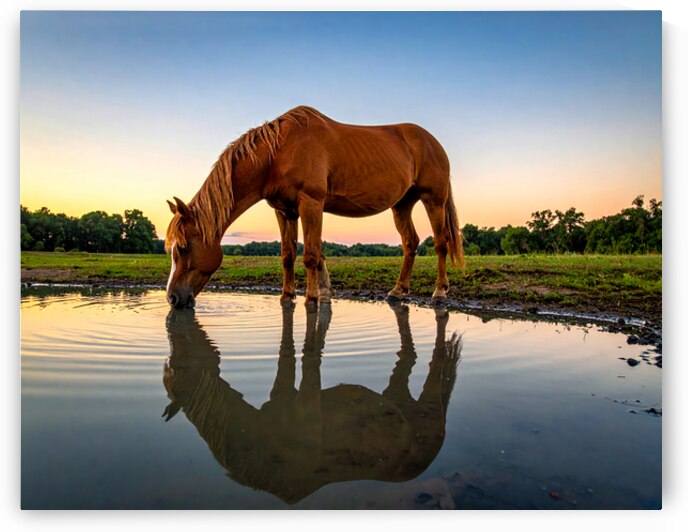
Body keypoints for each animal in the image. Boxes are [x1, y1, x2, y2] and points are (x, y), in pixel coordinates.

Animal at [162, 301, 462, 505]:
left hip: (427, 401)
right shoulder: (282, 394)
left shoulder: (305, 404)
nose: (176, 303)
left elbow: (309, 362)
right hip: (397, 396)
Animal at [165, 106, 464, 309]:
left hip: (433, 200)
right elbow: (289, 255)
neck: (278, 153)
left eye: (184, 247)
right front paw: (289, 296)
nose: (173, 298)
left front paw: (312, 297)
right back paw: (398, 291)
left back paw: (440, 292)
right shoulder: (284, 211)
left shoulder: (311, 203)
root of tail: (433, 143)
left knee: (441, 243)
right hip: (402, 205)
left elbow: (310, 254)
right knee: (410, 243)